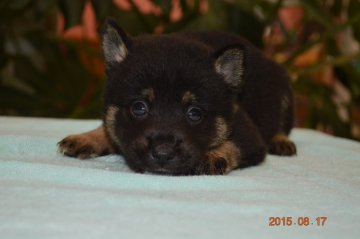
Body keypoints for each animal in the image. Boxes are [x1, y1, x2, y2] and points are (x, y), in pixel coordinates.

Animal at [58, 18, 296, 176]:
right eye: (138, 107)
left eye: (195, 113)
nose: (163, 154)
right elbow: (108, 128)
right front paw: (89, 137)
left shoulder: (249, 135)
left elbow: (233, 145)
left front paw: (212, 156)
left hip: (284, 90)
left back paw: (281, 141)